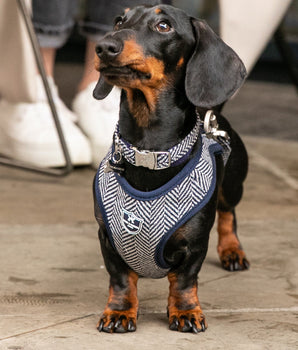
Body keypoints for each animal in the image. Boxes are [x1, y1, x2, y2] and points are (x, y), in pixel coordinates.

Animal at [92, 3, 249, 334]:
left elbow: (184, 282)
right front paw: (119, 312)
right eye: (119, 20)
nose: (103, 47)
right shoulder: (108, 238)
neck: (149, 153)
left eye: (164, 26)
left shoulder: (195, 245)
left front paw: (186, 311)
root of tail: (211, 113)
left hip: (232, 187)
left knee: (228, 213)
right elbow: (121, 280)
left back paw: (232, 250)